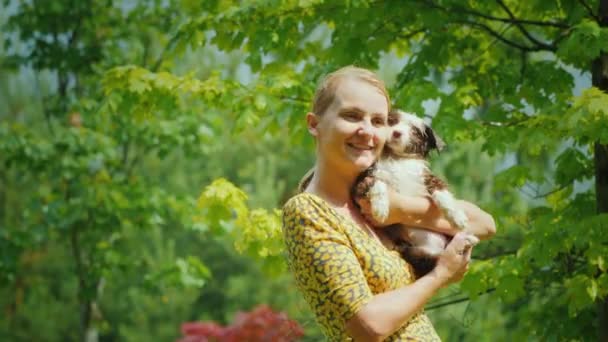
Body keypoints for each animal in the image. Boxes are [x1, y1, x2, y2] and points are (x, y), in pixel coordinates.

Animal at [354, 109, 478, 278]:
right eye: (391, 121)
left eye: (414, 131)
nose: (397, 133)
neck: (397, 159)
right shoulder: (363, 181)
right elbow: (378, 184)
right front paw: (380, 208)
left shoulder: (426, 177)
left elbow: (442, 193)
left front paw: (457, 217)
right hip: (419, 254)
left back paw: (468, 238)